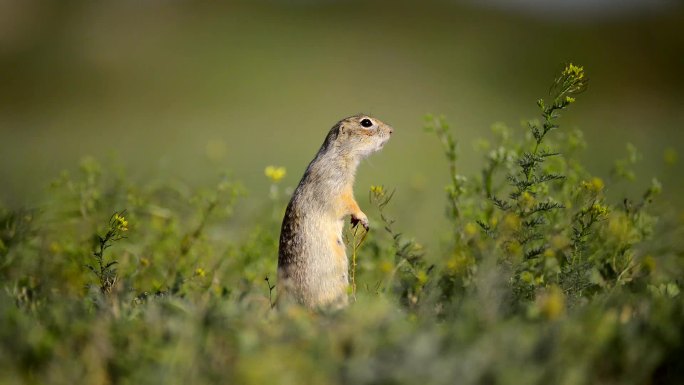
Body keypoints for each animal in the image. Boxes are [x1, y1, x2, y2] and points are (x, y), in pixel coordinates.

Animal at [278, 114, 396, 308]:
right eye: (366, 123)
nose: (391, 131)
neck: (340, 155)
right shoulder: (335, 184)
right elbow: (347, 203)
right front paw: (363, 218)